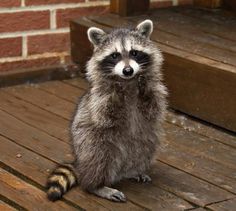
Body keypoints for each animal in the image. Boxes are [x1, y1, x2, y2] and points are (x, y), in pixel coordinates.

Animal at [47, 19, 167, 203]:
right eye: (115, 55)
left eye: (134, 53)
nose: (128, 70)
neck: (128, 82)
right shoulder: (99, 98)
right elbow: (105, 116)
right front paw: (117, 94)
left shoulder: (157, 89)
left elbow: (153, 109)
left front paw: (144, 91)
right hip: (92, 140)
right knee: (99, 158)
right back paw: (96, 186)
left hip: (146, 137)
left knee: (146, 148)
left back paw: (133, 171)